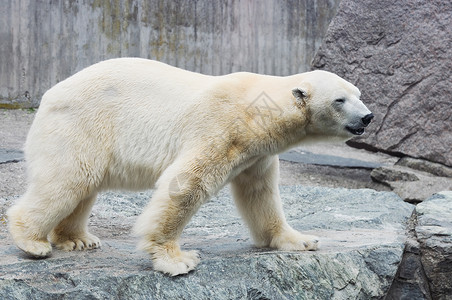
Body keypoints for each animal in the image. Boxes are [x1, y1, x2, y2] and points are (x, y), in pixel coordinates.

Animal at [7, 58, 374, 276]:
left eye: (358, 93)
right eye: (339, 100)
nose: (367, 117)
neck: (259, 112)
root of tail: (50, 94)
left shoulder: (257, 152)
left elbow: (261, 193)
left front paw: (300, 240)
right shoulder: (221, 129)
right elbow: (185, 184)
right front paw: (177, 259)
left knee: (84, 185)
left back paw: (77, 240)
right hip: (81, 124)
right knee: (69, 179)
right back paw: (32, 241)